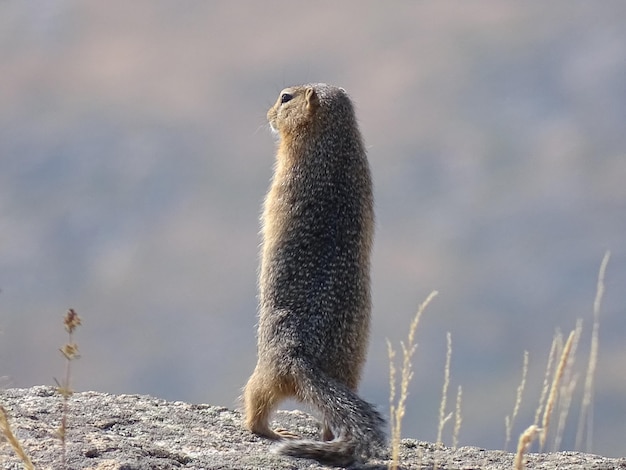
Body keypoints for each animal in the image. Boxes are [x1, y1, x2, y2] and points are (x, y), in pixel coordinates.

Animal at [244, 82, 386, 464]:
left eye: (284, 97)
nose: (266, 114)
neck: (335, 144)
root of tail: (304, 359)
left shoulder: (287, 178)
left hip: (265, 368)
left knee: (257, 404)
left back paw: (275, 431)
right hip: (350, 371)